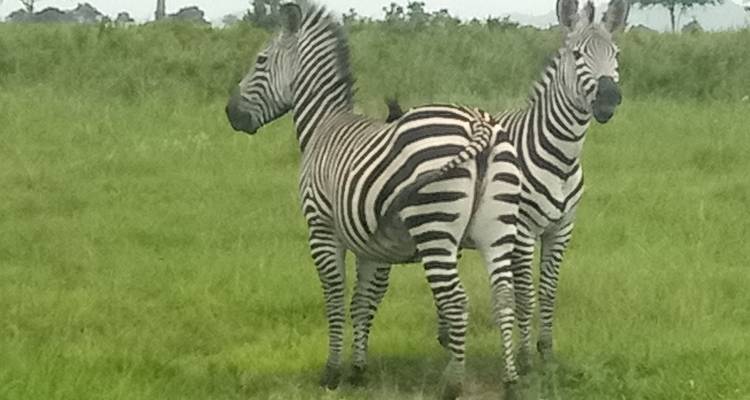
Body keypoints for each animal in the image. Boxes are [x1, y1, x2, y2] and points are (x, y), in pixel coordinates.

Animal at [224, 4, 524, 398]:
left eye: (260, 60)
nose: (230, 113)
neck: (323, 126)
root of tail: (479, 123)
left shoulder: (321, 229)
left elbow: (335, 297)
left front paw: (333, 372)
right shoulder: (372, 246)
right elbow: (364, 302)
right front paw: (358, 369)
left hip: (435, 229)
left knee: (456, 302)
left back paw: (453, 384)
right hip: (497, 229)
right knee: (503, 296)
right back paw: (511, 382)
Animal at [384, 0, 630, 372]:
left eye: (614, 54)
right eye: (576, 55)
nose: (609, 98)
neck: (562, 160)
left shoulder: (561, 230)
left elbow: (548, 291)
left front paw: (546, 352)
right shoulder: (523, 231)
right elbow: (525, 294)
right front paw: (526, 358)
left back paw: (446, 336)